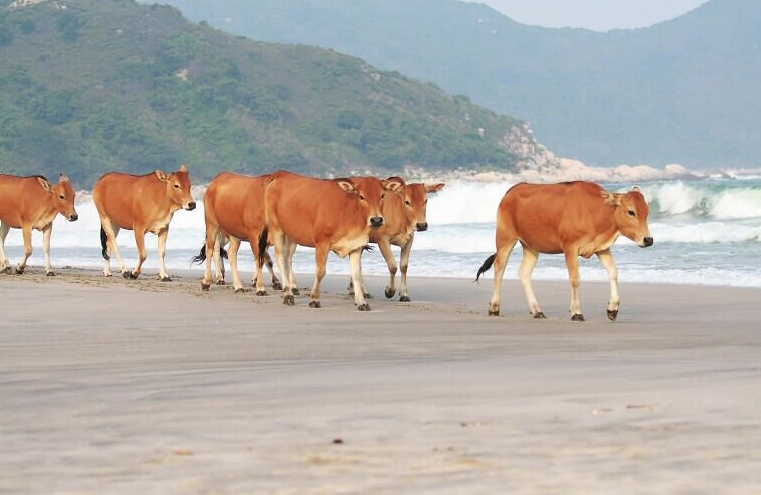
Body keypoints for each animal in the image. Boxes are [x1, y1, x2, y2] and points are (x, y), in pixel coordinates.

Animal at [262, 170, 404, 310]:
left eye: (382, 195)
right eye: (361, 196)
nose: (376, 220)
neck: (349, 211)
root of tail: (281, 174)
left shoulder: (356, 245)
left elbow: (356, 274)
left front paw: (361, 302)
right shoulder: (322, 243)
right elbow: (320, 272)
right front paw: (314, 299)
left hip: (290, 235)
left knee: (287, 258)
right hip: (276, 228)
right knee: (280, 257)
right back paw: (287, 294)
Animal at [472, 182, 652, 322]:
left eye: (647, 212)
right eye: (631, 212)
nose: (648, 239)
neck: (595, 212)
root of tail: (512, 189)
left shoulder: (602, 248)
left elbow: (613, 273)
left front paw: (612, 309)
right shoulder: (570, 247)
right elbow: (575, 279)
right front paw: (576, 312)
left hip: (531, 246)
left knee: (524, 273)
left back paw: (537, 310)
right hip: (505, 239)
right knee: (499, 268)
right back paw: (494, 307)